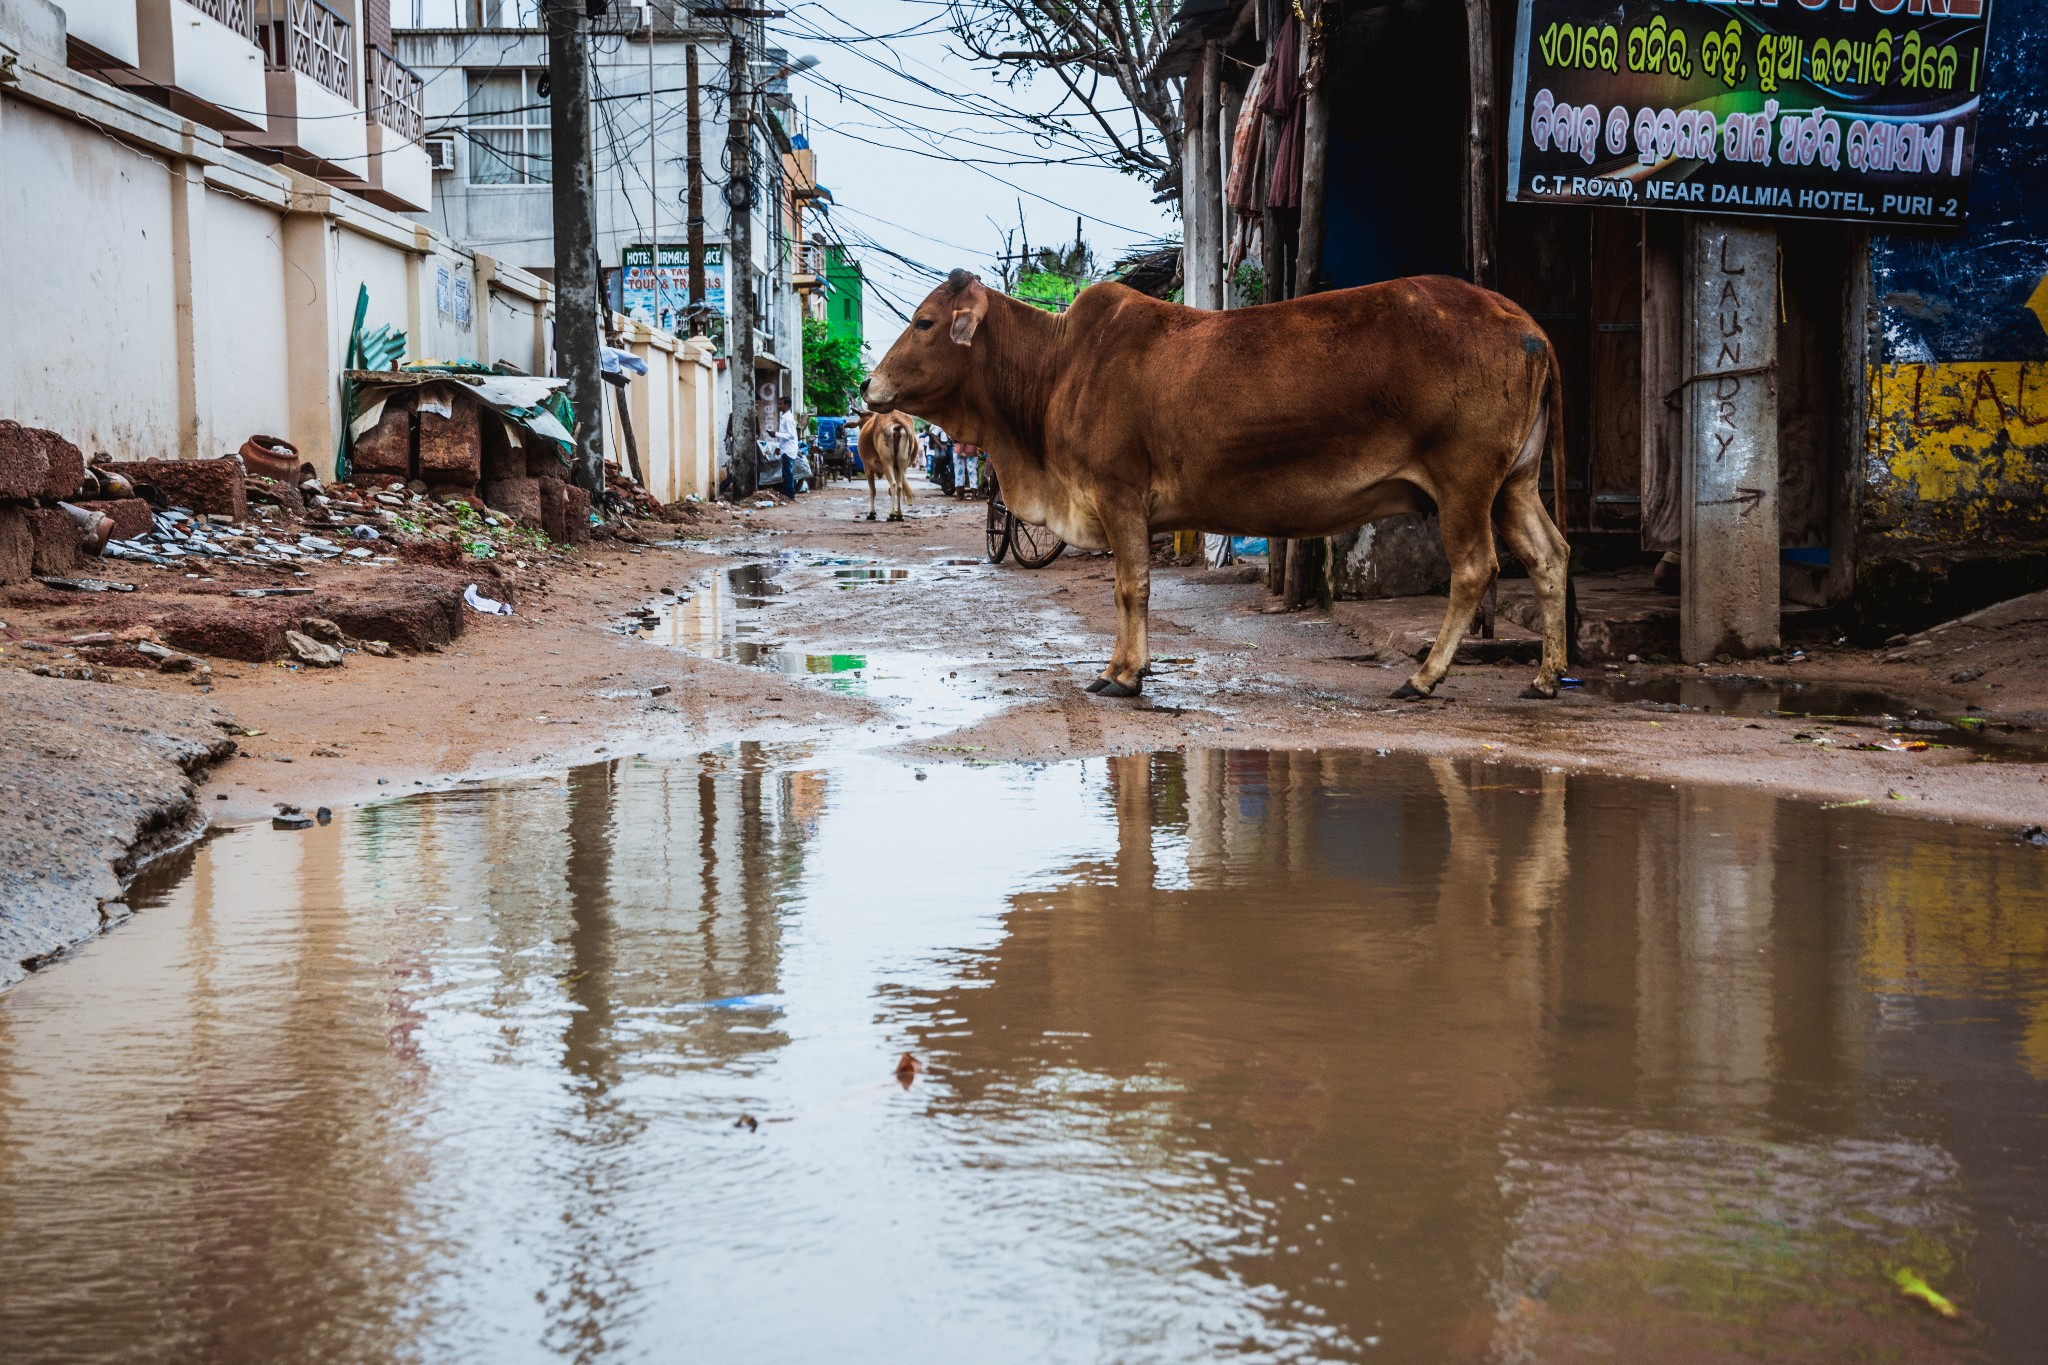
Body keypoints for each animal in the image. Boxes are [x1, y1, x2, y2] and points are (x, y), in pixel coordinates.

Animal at [864, 274, 1564, 703]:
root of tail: (1523, 322)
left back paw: (1423, 678)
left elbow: (1130, 588)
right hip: (1515, 483)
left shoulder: (1119, 495)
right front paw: (1121, 668)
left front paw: (1124, 674)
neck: (1057, 365)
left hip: (1465, 481)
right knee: (1549, 557)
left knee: (1474, 569)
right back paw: (1546, 677)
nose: (870, 386)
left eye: (925, 323)